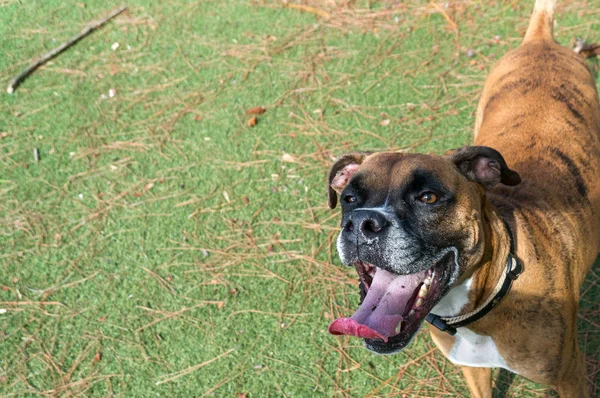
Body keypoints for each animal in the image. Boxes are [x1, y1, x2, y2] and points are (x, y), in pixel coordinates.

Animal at [328, 0, 600, 394]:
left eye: (428, 197)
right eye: (350, 198)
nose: (364, 222)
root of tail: (540, 41)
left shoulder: (570, 377)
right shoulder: (473, 370)